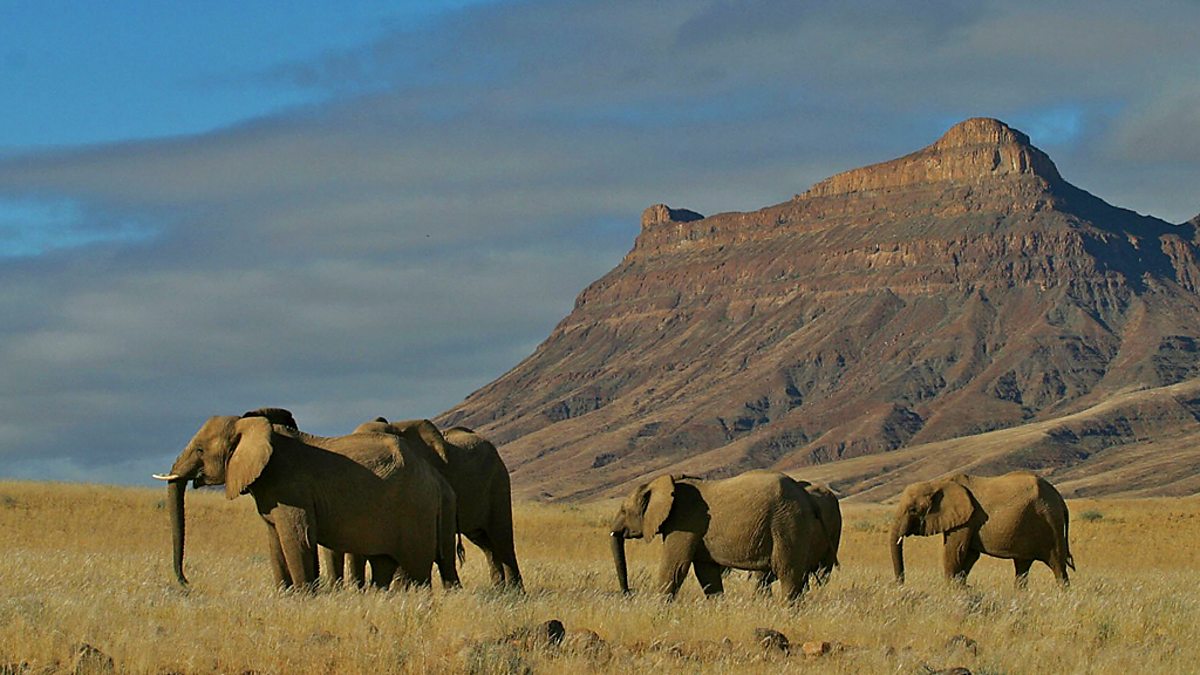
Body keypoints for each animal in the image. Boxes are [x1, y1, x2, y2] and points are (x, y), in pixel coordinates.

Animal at [152, 410, 460, 588]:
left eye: (200, 450)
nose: (186, 583)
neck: (253, 427)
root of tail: (433, 477)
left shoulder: (292, 489)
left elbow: (296, 538)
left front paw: (304, 596)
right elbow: (275, 541)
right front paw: (286, 595)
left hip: (415, 510)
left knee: (416, 569)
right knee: (386, 563)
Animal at [609, 468, 835, 598]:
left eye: (623, 510)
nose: (628, 593)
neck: (666, 484)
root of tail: (807, 498)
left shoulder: (685, 521)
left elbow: (675, 568)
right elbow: (706, 572)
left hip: (787, 523)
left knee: (788, 573)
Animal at [892, 468, 1080, 583]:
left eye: (913, 510)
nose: (900, 584)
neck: (937, 483)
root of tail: (1060, 499)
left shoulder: (967, 519)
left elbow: (955, 551)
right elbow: (968, 555)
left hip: (1051, 524)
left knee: (1058, 567)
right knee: (1022, 567)